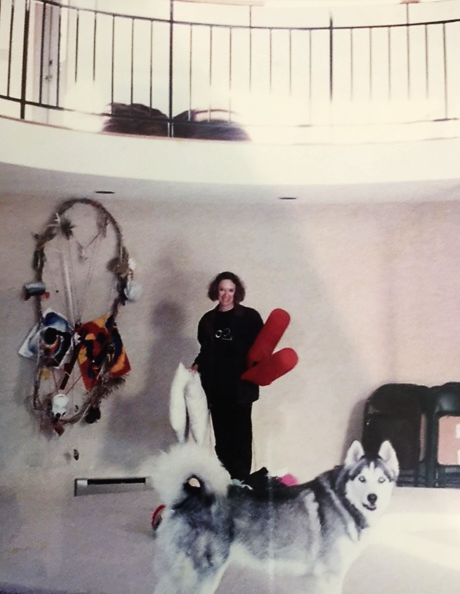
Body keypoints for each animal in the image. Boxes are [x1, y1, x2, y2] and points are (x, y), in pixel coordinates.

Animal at [151, 440, 398, 594]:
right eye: (362, 479)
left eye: (381, 480)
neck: (345, 503)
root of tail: (187, 495)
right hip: (205, 574)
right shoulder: (329, 577)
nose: (373, 497)